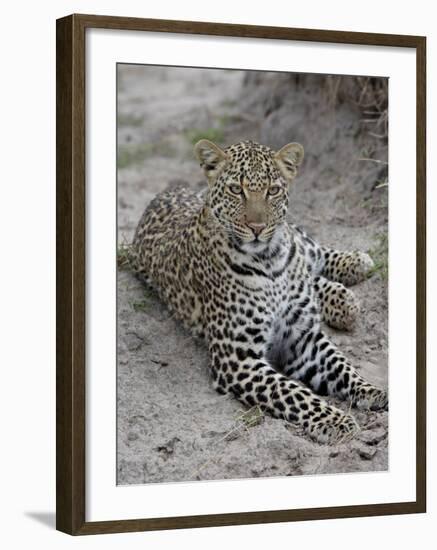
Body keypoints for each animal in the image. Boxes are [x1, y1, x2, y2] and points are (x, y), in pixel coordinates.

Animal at [129, 140, 384, 446]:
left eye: (272, 190)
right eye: (235, 189)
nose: (257, 228)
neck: (268, 261)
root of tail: (163, 193)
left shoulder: (304, 336)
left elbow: (341, 365)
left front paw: (371, 391)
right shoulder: (238, 359)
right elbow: (292, 392)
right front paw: (336, 420)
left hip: (298, 238)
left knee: (311, 254)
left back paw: (354, 267)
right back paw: (342, 299)